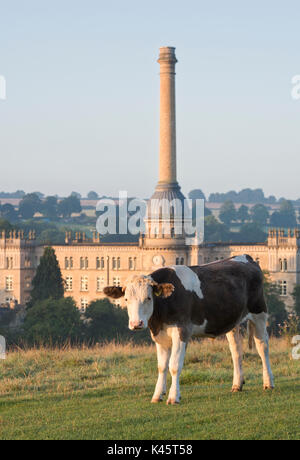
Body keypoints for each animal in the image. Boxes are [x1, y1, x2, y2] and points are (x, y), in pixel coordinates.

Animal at [104, 256, 276, 404]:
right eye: (126, 299)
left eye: (148, 298)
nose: (136, 323)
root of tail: (245, 257)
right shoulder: (159, 335)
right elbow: (162, 366)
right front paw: (157, 395)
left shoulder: (182, 330)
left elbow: (174, 365)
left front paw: (173, 397)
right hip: (232, 322)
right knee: (236, 351)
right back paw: (237, 384)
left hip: (259, 312)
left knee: (263, 347)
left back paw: (268, 382)